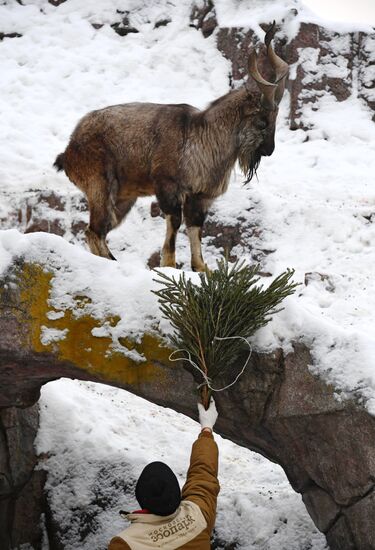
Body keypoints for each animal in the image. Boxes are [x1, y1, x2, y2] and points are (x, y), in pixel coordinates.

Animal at [55, 24, 288, 274]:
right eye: (262, 121)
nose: (269, 150)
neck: (202, 137)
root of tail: (68, 151)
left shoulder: (199, 197)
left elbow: (195, 229)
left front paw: (201, 268)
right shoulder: (167, 186)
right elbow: (174, 224)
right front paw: (168, 265)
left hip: (123, 199)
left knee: (97, 231)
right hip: (99, 186)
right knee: (94, 231)